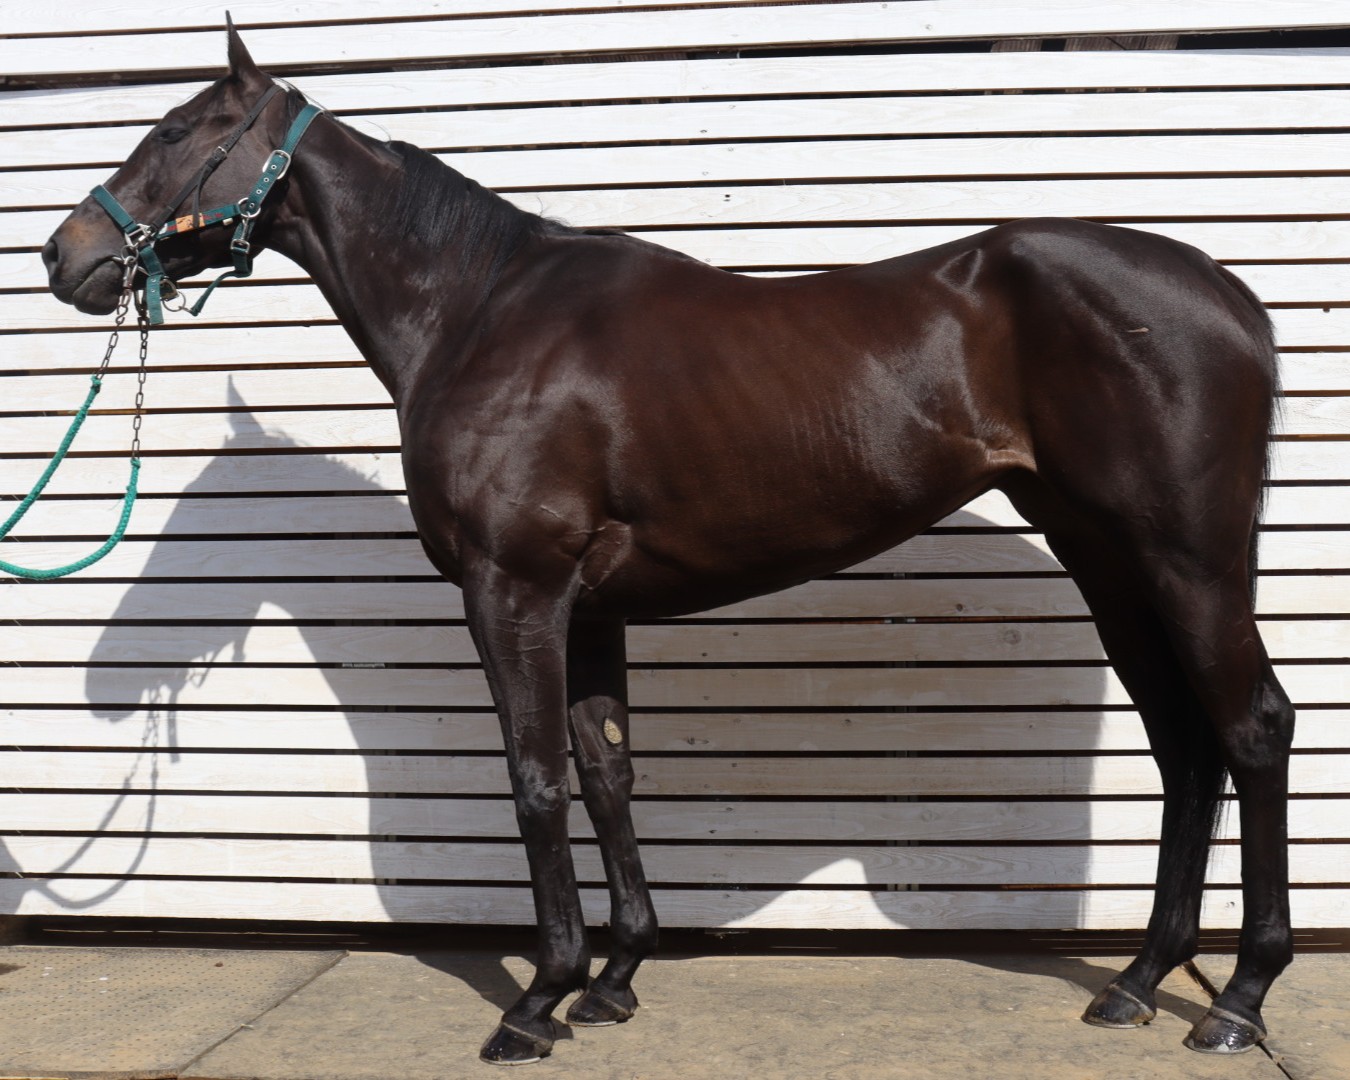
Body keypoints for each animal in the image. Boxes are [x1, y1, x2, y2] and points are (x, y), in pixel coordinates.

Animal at [42, 23, 1294, 1066]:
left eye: (175, 131)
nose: (65, 257)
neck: (479, 314)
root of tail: (1227, 293)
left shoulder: (515, 591)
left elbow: (537, 779)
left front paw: (537, 998)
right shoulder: (590, 606)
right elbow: (608, 775)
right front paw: (617, 978)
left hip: (1187, 562)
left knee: (1251, 730)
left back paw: (1237, 1000)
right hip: (1112, 565)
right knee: (1186, 750)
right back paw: (1137, 980)